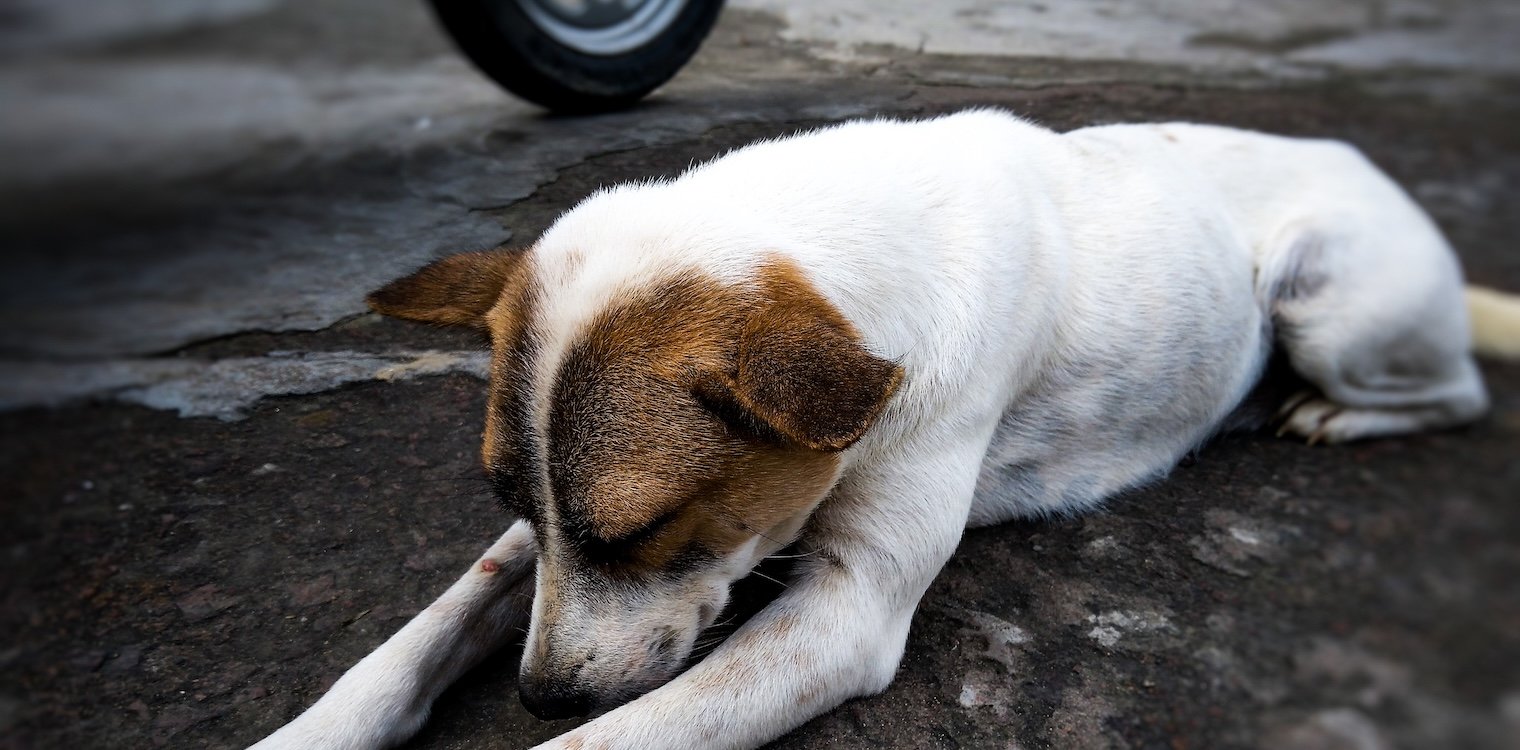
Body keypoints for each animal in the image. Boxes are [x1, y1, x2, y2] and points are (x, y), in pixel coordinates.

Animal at [252, 106, 1520, 748]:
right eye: (505, 495)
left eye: (649, 528)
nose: (542, 698)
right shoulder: (536, 541)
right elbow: (415, 640)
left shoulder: (841, 616)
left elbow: (613, 742)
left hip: (1323, 296)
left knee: (1455, 393)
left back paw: (1324, 412)